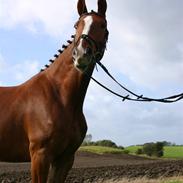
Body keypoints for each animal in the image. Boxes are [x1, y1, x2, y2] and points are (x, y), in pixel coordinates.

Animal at [0, 0, 108, 182]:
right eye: (76, 25)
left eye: (103, 25)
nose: (81, 54)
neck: (59, 97)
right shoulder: (40, 156)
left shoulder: (65, 159)